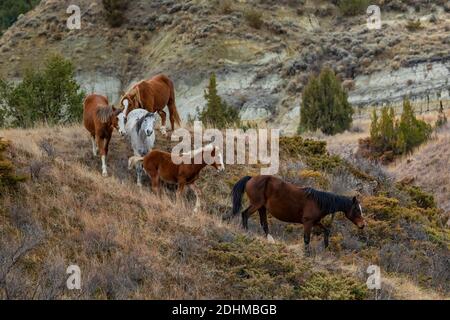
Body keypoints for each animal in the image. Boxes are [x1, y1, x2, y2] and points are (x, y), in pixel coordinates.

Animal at [229, 175, 366, 255]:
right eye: (357, 210)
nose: (363, 225)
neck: (318, 202)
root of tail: (251, 178)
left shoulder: (315, 222)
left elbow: (326, 231)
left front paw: (327, 248)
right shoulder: (308, 222)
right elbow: (306, 239)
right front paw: (307, 255)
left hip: (262, 208)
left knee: (264, 224)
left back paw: (269, 239)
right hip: (256, 204)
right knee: (245, 214)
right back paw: (246, 232)